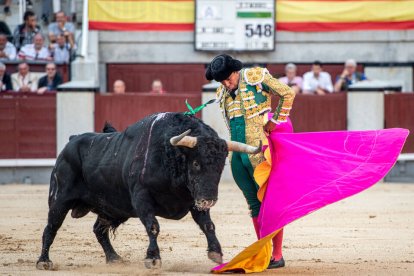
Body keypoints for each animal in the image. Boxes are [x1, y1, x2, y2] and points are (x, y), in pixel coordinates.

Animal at [37, 112, 260, 270]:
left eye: (221, 166)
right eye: (196, 163)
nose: (209, 199)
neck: (170, 157)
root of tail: (72, 141)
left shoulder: (194, 200)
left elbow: (208, 225)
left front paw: (216, 253)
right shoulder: (142, 198)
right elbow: (153, 226)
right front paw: (153, 258)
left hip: (110, 208)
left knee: (99, 230)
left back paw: (114, 258)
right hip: (59, 199)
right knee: (51, 228)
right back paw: (44, 261)